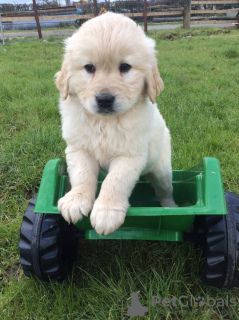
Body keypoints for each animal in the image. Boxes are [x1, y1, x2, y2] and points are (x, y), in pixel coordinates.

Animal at [55, 12, 176, 235]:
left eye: (125, 67)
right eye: (89, 68)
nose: (104, 100)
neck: (104, 122)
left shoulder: (129, 156)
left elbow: (114, 182)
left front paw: (106, 212)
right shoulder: (79, 149)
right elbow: (82, 175)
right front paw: (76, 200)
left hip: (162, 169)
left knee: (165, 192)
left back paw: (171, 209)